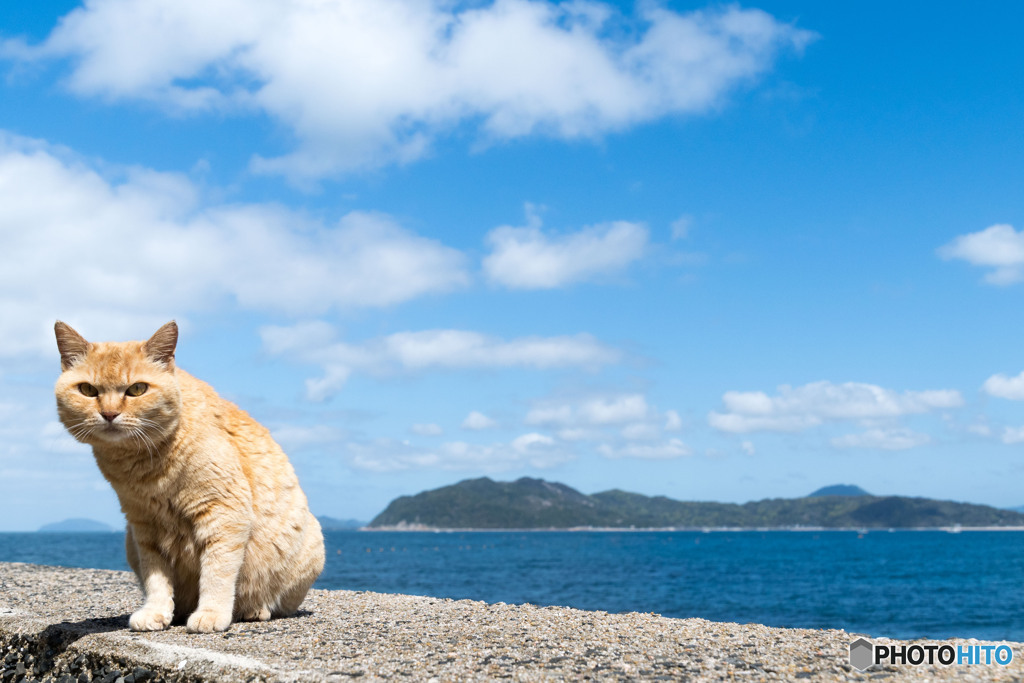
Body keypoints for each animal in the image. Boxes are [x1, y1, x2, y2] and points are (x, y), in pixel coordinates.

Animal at [52, 323, 323, 634]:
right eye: (87, 390)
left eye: (137, 389)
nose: (109, 414)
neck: (144, 465)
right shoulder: (143, 526)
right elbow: (155, 578)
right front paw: (156, 612)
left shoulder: (224, 512)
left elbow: (217, 571)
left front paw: (211, 613)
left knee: (269, 600)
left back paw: (253, 609)